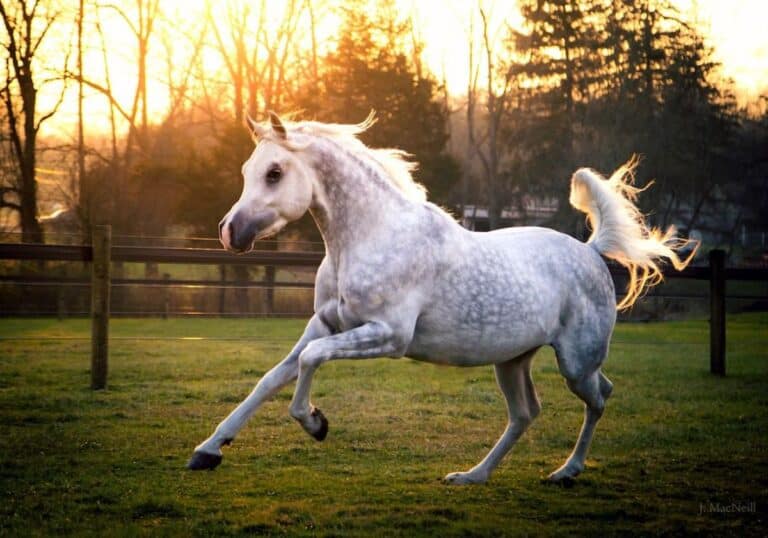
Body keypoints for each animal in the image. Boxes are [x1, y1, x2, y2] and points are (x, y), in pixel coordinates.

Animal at [187, 111, 696, 484]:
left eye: (275, 172)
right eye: (247, 171)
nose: (229, 232)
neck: (371, 235)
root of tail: (590, 251)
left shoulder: (387, 336)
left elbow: (310, 362)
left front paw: (315, 423)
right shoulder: (326, 324)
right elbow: (271, 378)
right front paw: (208, 450)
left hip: (576, 362)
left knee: (600, 396)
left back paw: (565, 472)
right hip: (512, 360)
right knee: (526, 413)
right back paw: (472, 476)